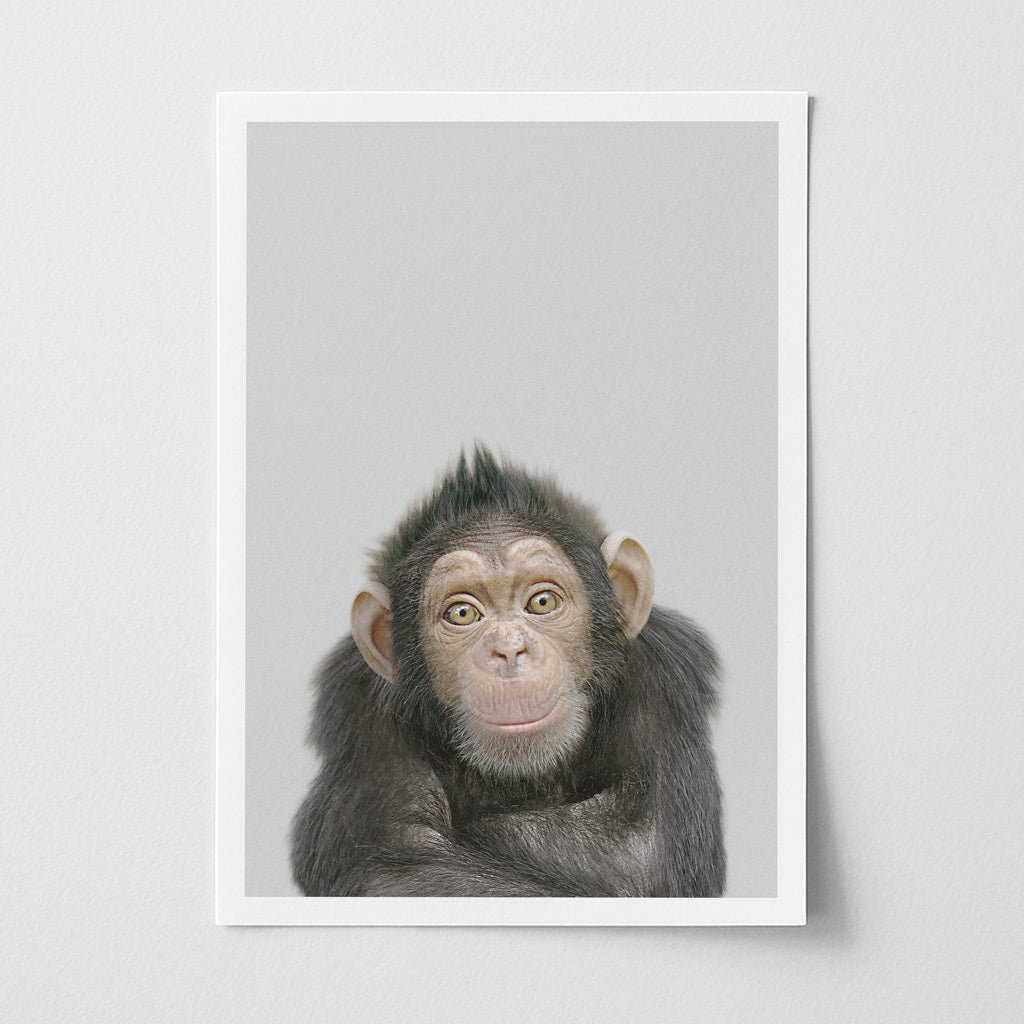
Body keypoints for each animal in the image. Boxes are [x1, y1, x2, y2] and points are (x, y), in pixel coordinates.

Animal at [291, 446, 724, 896]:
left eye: (543, 602)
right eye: (462, 613)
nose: (509, 648)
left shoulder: (662, 677)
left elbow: (636, 849)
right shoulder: (360, 711)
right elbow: (396, 868)